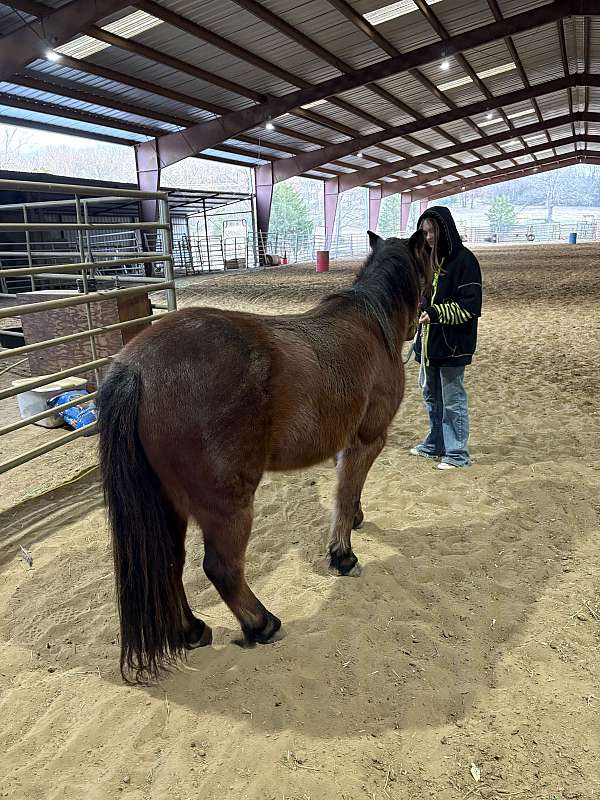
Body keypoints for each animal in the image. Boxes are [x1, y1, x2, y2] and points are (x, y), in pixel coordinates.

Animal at [97, 229, 431, 683]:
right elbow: (345, 497)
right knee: (221, 567)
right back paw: (262, 623)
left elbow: (347, 493)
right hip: (228, 506)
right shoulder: (367, 440)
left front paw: (356, 523)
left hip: (169, 504)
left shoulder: (347, 447)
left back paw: (192, 630)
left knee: (168, 564)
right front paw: (343, 556)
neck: (370, 326)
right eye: (430, 261)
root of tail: (136, 367)